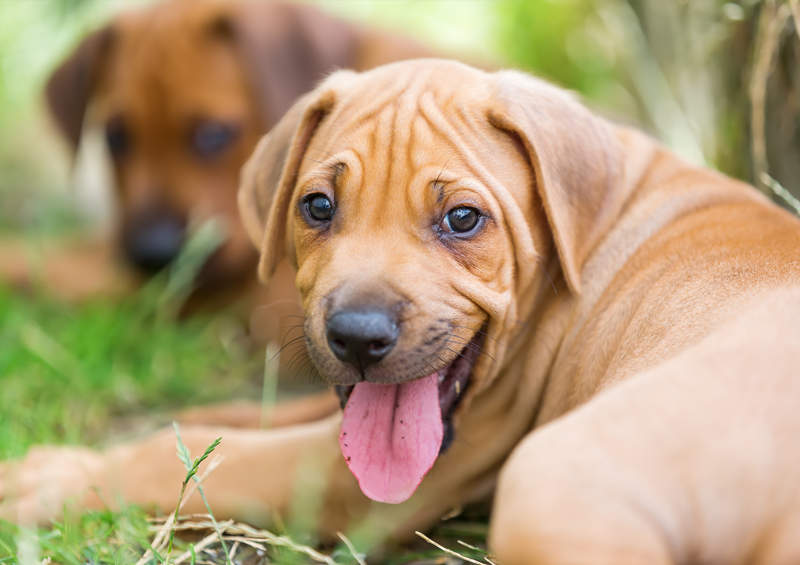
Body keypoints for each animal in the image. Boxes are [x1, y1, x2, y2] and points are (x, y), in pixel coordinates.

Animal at [4, 59, 800, 560]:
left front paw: (52, 480)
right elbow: (234, 422)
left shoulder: (398, 472)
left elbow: (217, 463)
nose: (357, 337)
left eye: (463, 219)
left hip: (555, 472)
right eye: (317, 206)